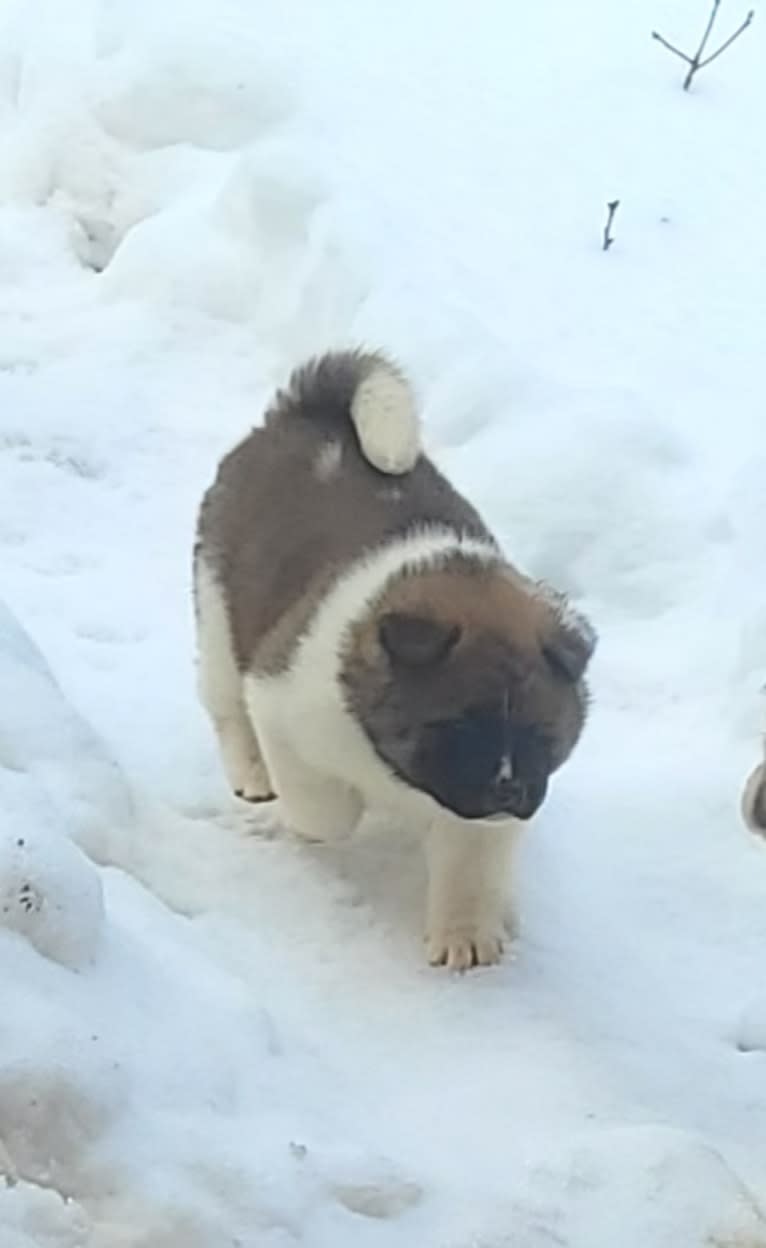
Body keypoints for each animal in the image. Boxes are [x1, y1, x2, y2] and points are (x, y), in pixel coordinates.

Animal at [193, 351, 601, 973]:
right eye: (459, 727)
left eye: (541, 733)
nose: (508, 792)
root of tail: (305, 411)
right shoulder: (282, 702)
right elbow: (325, 812)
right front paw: (323, 815)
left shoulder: (479, 822)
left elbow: (470, 864)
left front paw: (466, 935)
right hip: (216, 608)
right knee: (226, 704)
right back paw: (253, 774)